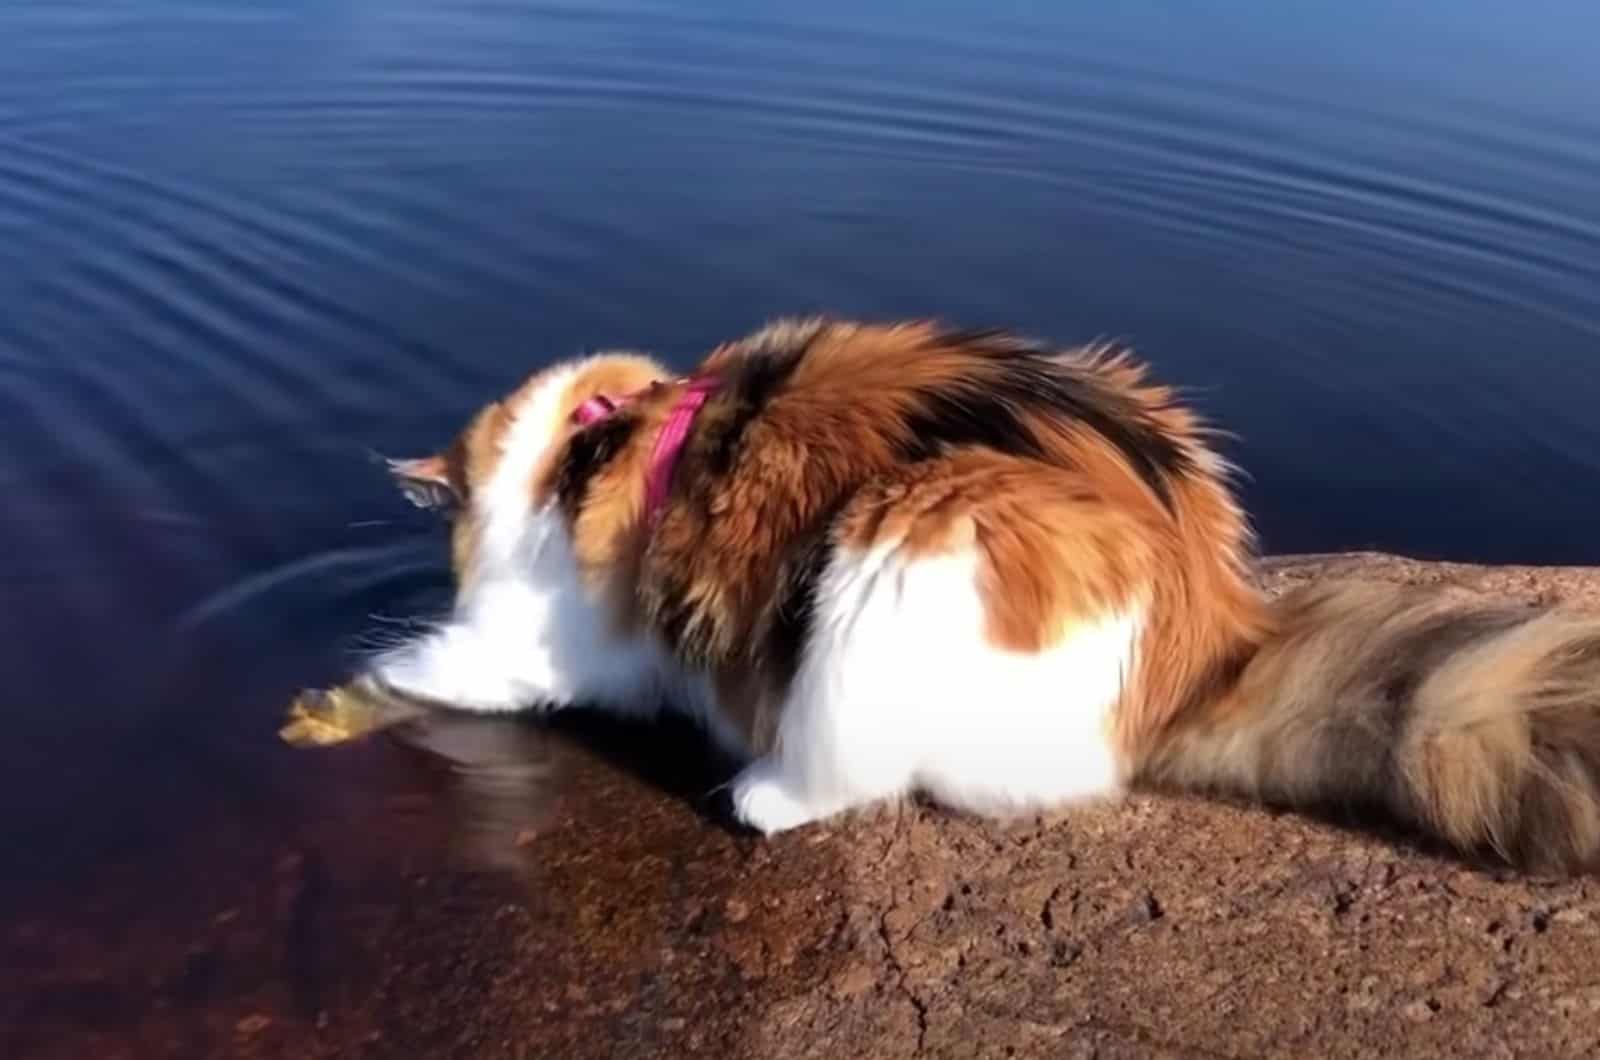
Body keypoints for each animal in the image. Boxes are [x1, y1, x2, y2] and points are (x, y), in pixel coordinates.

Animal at [350, 317, 1600, 871]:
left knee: (852, 778)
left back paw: (762, 793)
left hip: (905, 538)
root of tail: (1201, 657)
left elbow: (456, 664)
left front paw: (373, 675)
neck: (598, 439)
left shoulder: (546, 642)